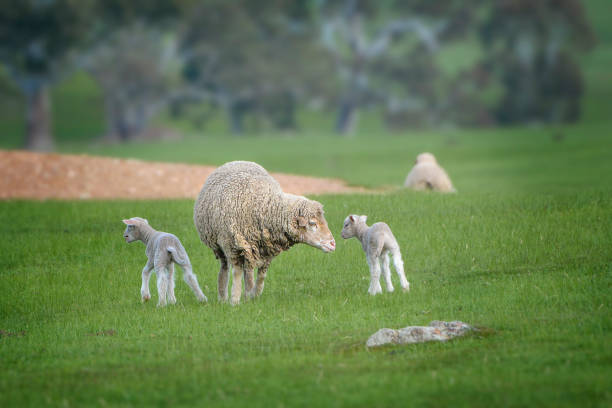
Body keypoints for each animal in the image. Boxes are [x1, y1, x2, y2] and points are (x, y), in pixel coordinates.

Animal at [195, 161, 334, 304]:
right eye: (312, 223)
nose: (333, 244)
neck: (266, 207)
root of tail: (235, 161)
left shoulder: (267, 250)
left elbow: (261, 275)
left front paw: (253, 296)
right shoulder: (233, 246)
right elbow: (238, 273)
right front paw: (236, 300)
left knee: (247, 270)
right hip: (221, 246)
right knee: (225, 269)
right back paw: (223, 297)